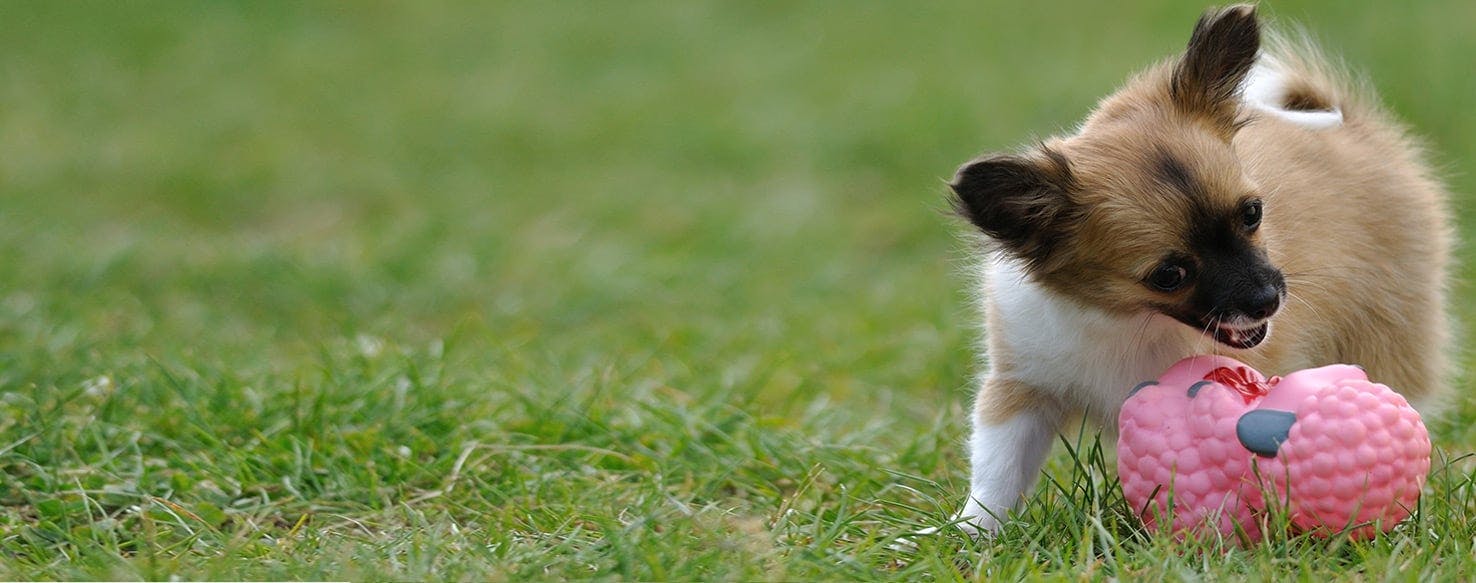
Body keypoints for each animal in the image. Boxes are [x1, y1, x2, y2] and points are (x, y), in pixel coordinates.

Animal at [944, 3, 1452, 540]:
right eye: (1169, 275)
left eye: (1252, 213)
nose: (1267, 301)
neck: (1125, 322)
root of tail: (1352, 125)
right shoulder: (1023, 385)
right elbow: (999, 466)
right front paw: (972, 530)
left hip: (1386, 331)